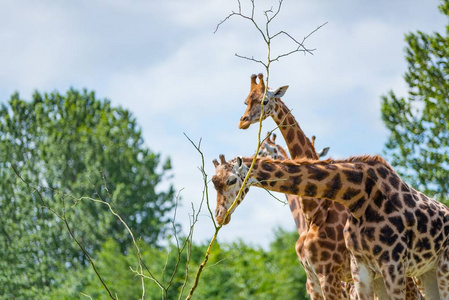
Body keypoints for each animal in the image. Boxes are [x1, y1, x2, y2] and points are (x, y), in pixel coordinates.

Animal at [211, 155, 448, 300]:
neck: (359, 198)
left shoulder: (393, 264)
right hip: (425, 273)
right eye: (213, 182)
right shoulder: (361, 267)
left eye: (231, 180)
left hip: (440, 268)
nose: (220, 216)